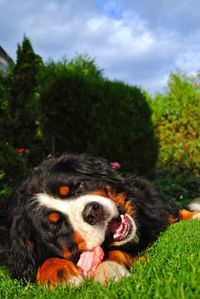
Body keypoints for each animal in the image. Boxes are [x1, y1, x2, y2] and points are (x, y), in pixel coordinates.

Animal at [0, 154, 199, 288]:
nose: (92, 212)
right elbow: (41, 262)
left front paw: (109, 268)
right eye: (58, 225)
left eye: (76, 187)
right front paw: (59, 273)